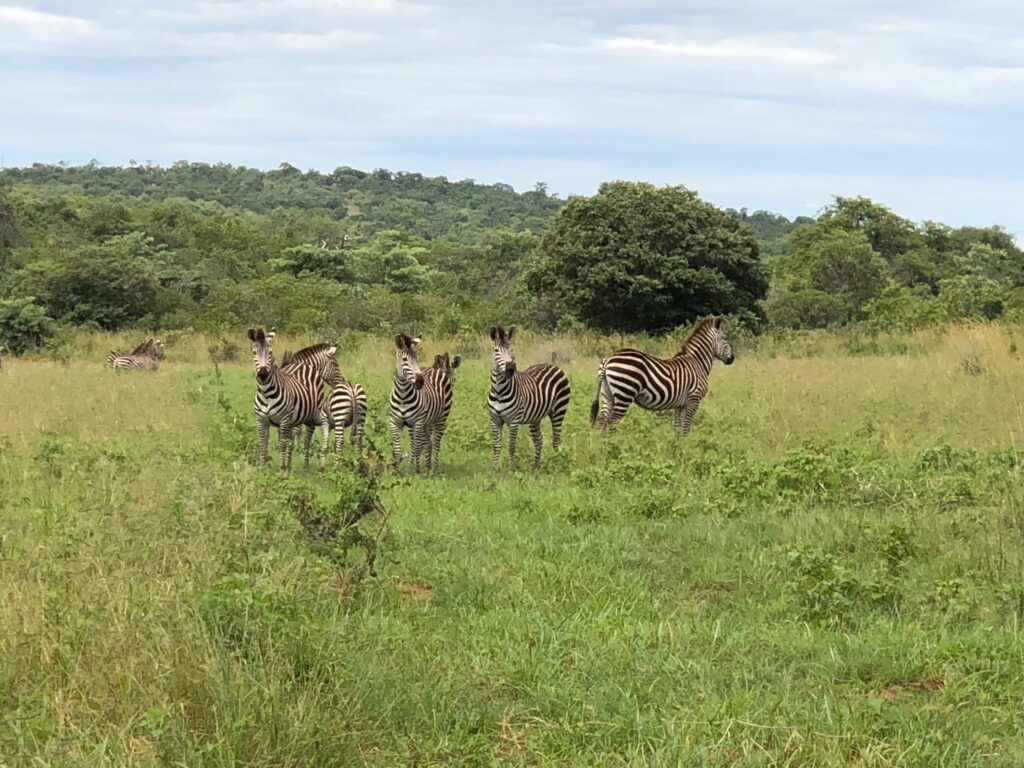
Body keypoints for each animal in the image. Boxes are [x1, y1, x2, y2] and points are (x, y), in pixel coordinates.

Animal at [248, 328, 338, 471]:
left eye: (270, 352)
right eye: (254, 352)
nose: (263, 374)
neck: (266, 393)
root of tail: (303, 366)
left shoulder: (286, 419)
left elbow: (284, 443)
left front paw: (283, 467)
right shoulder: (261, 420)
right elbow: (264, 444)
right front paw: (263, 468)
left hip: (310, 414)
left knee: (308, 438)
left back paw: (306, 464)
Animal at [487, 325, 570, 471]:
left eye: (511, 349)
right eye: (496, 350)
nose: (510, 368)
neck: (499, 391)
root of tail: (552, 365)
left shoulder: (514, 421)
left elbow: (511, 446)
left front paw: (511, 469)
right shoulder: (495, 419)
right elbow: (496, 445)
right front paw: (495, 469)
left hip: (559, 410)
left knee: (556, 440)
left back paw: (556, 463)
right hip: (535, 417)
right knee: (539, 439)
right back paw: (536, 466)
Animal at [591, 315, 734, 435]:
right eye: (725, 339)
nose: (732, 358)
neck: (697, 362)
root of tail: (608, 359)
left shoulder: (680, 404)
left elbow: (677, 427)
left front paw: (677, 446)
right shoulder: (694, 399)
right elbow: (686, 428)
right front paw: (686, 446)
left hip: (607, 393)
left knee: (602, 420)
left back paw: (602, 445)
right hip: (625, 393)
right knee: (612, 422)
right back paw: (614, 444)